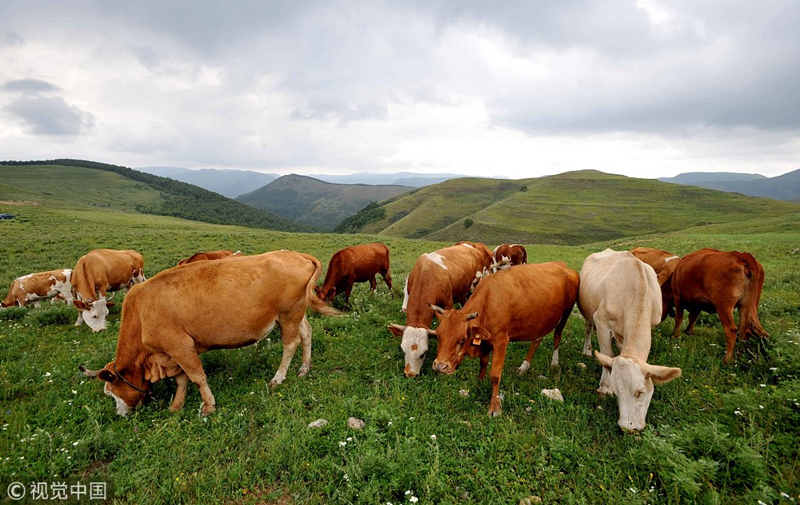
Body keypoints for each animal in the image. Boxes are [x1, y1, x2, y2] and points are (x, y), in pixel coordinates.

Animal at [80, 250, 340, 416]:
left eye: (112, 392)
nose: (120, 414)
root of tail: (295, 254)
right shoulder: (173, 353)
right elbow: (182, 379)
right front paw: (176, 406)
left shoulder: (180, 346)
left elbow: (196, 377)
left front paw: (208, 406)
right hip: (296, 313)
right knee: (306, 334)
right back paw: (304, 369)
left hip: (288, 314)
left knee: (290, 344)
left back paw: (278, 377)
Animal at [428, 262, 580, 416]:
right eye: (438, 335)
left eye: (462, 339)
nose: (440, 366)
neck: (488, 303)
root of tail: (562, 264)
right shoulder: (485, 342)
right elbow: (483, 364)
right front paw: (479, 384)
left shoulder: (501, 342)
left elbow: (495, 375)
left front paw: (495, 407)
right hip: (542, 320)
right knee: (537, 340)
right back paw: (524, 366)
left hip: (565, 314)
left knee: (557, 335)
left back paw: (554, 362)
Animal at [580, 248, 684, 430]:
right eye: (616, 391)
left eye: (640, 392)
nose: (628, 427)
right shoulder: (601, 322)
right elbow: (607, 357)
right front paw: (604, 387)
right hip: (588, 313)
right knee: (588, 329)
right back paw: (587, 350)